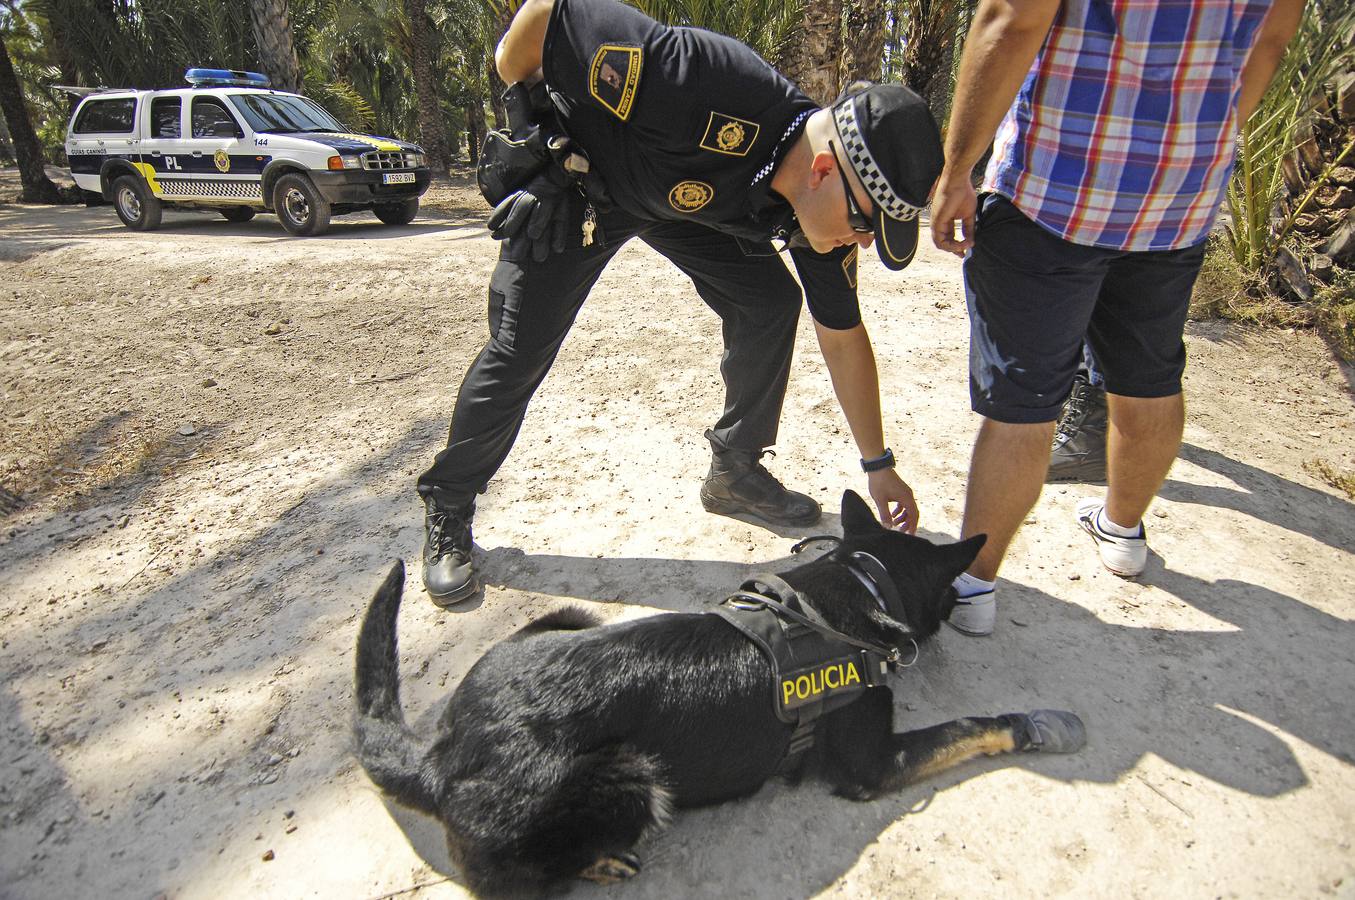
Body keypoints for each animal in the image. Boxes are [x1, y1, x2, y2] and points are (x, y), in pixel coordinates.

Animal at [355, 493, 1084, 894]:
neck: (864, 580)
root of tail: (442, 756)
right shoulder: (874, 766)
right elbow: (968, 726)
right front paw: (1030, 725)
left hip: (568, 620)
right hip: (634, 773)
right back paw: (601, 861)